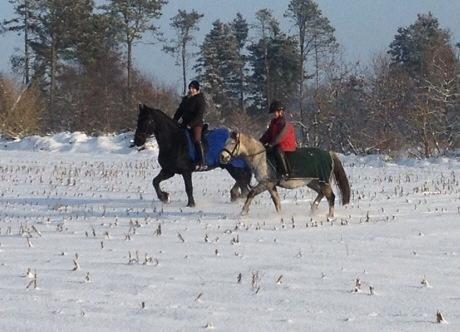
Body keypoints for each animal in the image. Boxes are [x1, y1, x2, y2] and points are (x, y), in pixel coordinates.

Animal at [221, 132, 350, 218]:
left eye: (232, 142)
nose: (222, 157)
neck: (261, 158)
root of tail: (329, 154)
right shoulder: (270, 185)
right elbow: (276, 201)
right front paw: (279, 216)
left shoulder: (265, 183)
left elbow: (251, 193)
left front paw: (243, 212)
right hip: (312, 182)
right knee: (322, 193)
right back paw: (313, 210)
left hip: (323, 182)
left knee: (331, 197)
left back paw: (330, 216)